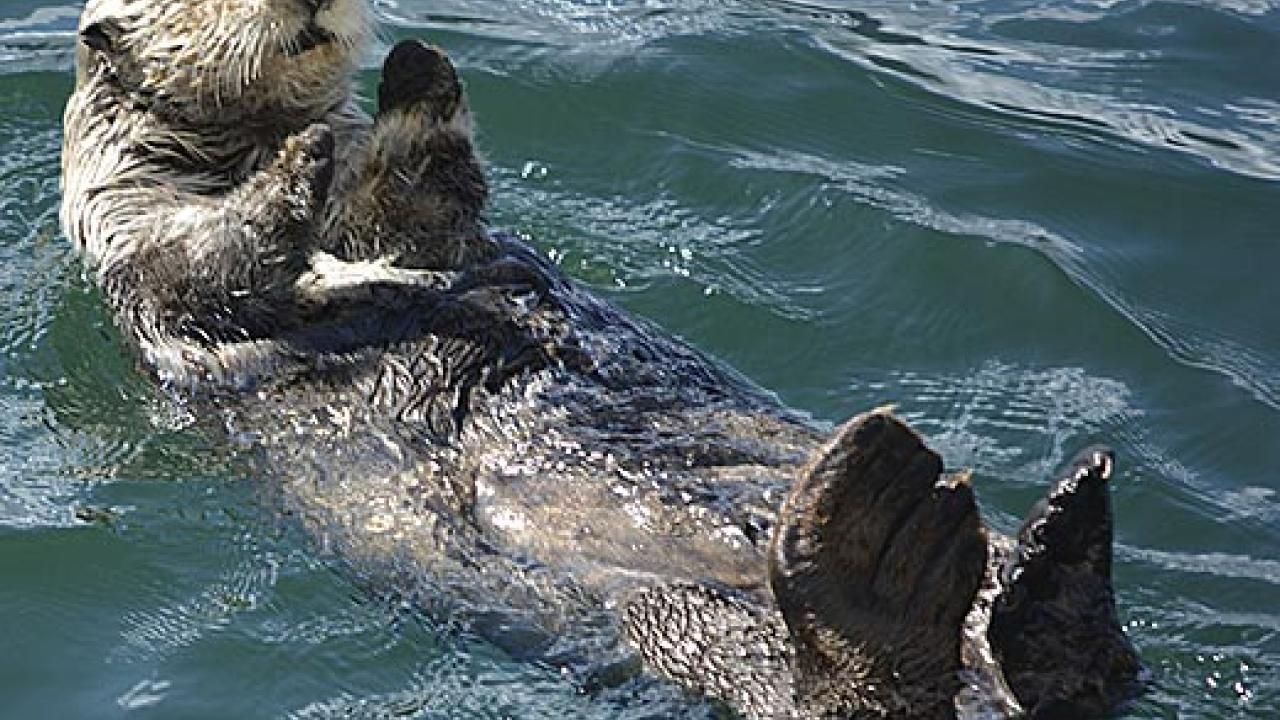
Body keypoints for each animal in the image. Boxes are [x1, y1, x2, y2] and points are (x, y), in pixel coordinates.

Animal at [59, 1, 1142, 717]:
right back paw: (883, 548)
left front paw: (415, 74)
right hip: (660, 618)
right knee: (832, 687)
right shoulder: (137, 237)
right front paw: (298, 166)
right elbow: (212, 265)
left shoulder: (409, 226)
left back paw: (1052, 560)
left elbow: (418, 202)